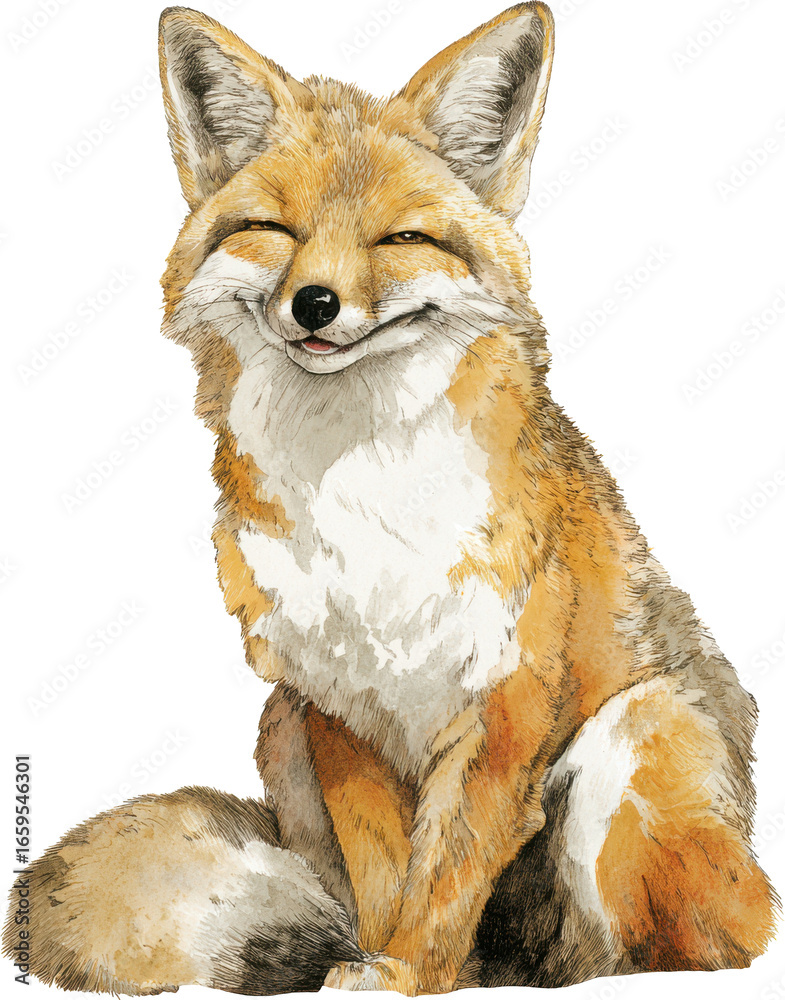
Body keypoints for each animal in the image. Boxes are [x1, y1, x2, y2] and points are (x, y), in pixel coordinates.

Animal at [4, 2, 778, 996]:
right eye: (273, 229)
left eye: (398, 240)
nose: (315, 303)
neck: (361, 505)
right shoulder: (337, 705)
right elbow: (383, 867)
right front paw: (380, 964)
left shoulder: (502, 703)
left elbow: (445, 870)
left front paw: (406, 972)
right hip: (277, 725)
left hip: (636, 737)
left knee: (675, 949)